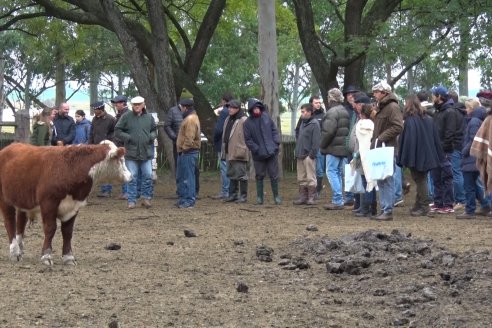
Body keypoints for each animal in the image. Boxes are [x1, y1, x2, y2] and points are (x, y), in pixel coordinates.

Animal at [0, 140, 132, 266]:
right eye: (121, 160)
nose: (130, 176)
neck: (70, 167)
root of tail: (8, 147)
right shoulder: (48, 203)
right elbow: (50, 228)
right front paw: (46, 256)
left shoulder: (73, 207)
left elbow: (68, 232)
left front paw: (69, 257)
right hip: (5, 200)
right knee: (10, 222)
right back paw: (15, 252)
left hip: (22, 201)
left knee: (20, 224)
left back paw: (20, 249)